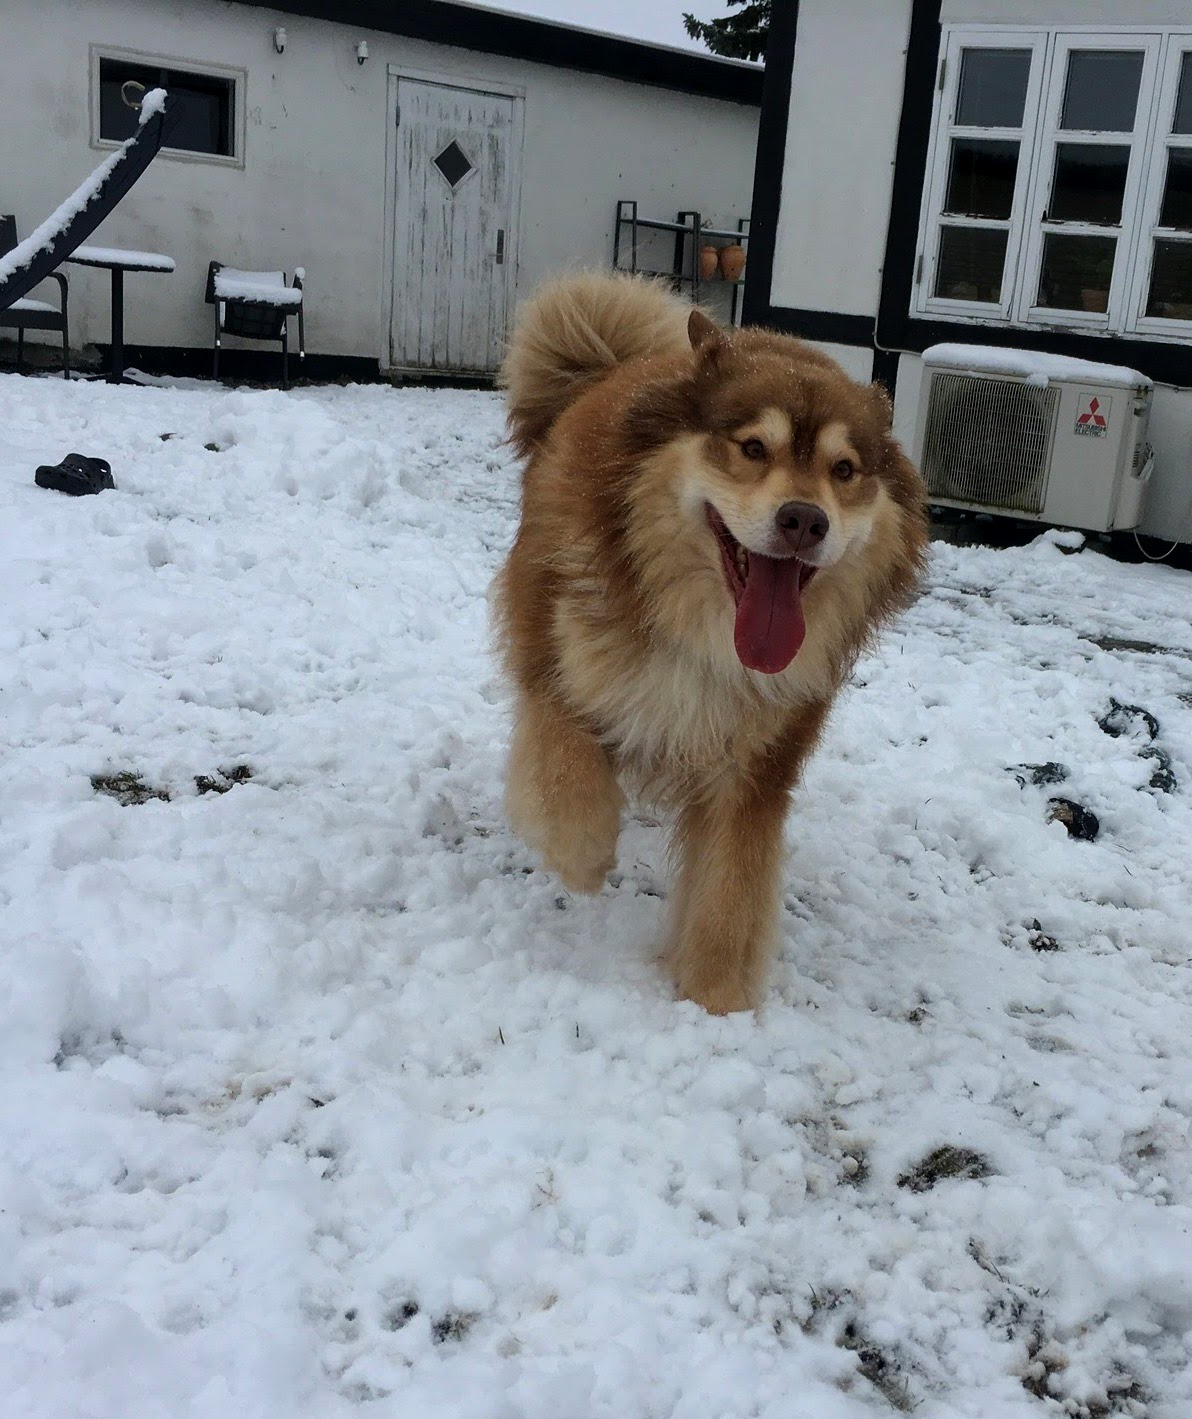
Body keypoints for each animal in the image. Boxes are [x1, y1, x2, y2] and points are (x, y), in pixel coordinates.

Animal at [488, 271, 925, 1016]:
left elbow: (731, 888)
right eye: (752, 448)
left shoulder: (757, 763)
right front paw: (582, 854)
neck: (707, 631)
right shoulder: (555, 660)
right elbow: (567, 772)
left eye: (843, 469)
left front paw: (715, 1000)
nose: (805, 520)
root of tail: (609, 364)